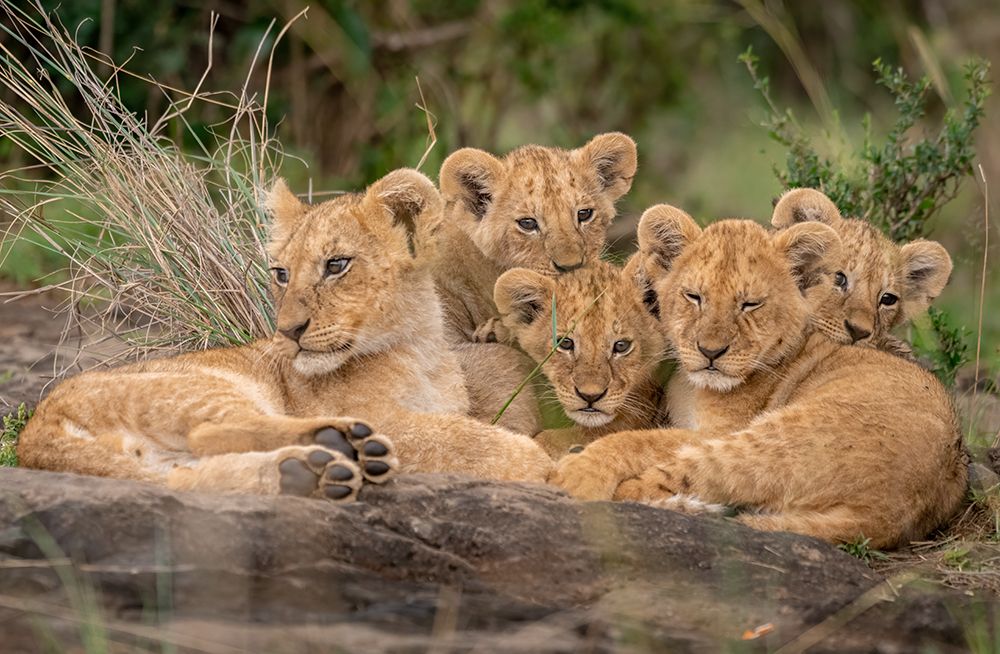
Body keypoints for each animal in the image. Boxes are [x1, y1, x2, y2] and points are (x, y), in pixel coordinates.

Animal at [18, 169, 553, 500]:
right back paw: (340, 443)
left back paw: (309, 472)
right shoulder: (388, 418)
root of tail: (35, 430)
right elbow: (468, 440)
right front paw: (540, 463)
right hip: (204, 387)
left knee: (188, 480)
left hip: (161, 465)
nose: (288, 331)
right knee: (211, 432)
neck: (420, 349)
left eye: (336, 265)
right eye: (280, 274)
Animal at [550, 205, 967, 548]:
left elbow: (633, 440)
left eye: (749, 304)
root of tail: (884, 517)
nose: (711, 352)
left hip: (768, 440)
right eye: (694, 297)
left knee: (654, 485)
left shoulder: (718, 429)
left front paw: (580, 466)